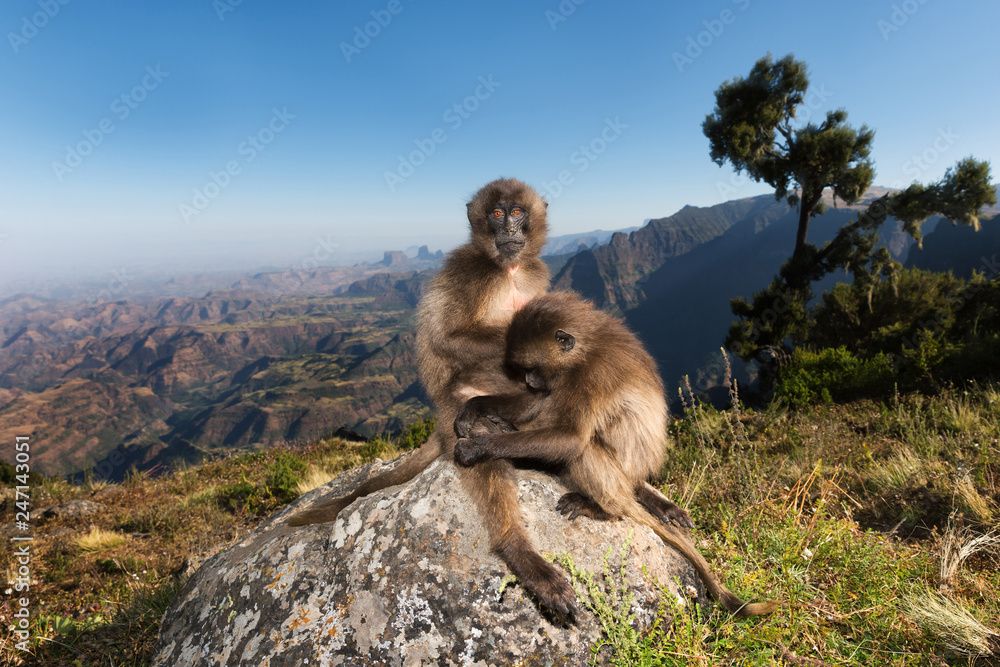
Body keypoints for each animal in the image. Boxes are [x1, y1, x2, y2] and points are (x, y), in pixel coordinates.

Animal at [285, 179, 580, 613]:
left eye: (517, 212)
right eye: (496, 214)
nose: (509, 230)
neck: (507, 270)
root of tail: (440, 420)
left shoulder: (533, 274)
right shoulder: (470, 273)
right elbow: (448, 338)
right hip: (457, 407)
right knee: (480, 445)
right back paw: (518, 550)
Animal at [453, 291, 778, 618]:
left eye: (533, 368)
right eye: (525, 371)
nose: (530, 382)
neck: (585, 351)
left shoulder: (591, 376)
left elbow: (571, 439)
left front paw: (479, 448)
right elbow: (532, 404)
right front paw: (475, 408)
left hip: (619, 475)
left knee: (583, 450)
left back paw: (603, 508)